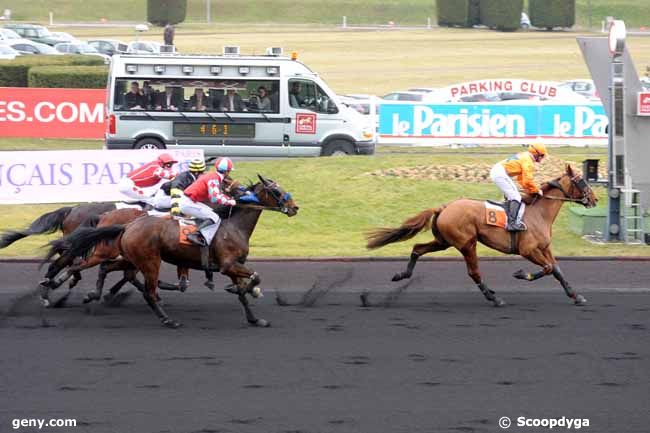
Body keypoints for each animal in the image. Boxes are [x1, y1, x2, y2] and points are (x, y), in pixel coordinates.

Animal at [46, 176, 298, 328]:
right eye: (276, 191)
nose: (294, 207)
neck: (233, 226)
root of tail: (126, 225)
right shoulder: (228, 265)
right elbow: (255, 276)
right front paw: (248, 289)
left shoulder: (234, 266)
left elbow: (243, 294)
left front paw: (254, 317)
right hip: (148, 260)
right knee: (142, 288)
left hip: (131, 258)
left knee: (108, 269)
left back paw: (87, 292)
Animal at [362, 165, 596, 308]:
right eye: (581, 180)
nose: (594, 199)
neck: (538, 213)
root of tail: (444, 207)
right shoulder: (527, 250)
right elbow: (547, 269)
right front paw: (521, 273)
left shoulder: (545, 247)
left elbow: (556, 270)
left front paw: (576, 296)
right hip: (467, 243)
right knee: (473, 272)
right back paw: (494, 297)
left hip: (444, 242)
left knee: (417, 248)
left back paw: (401, 274)